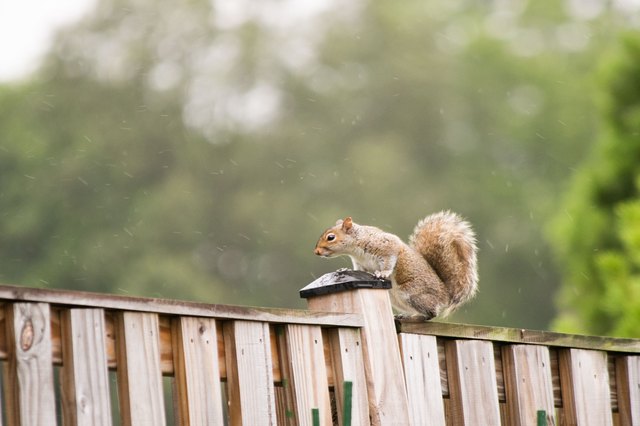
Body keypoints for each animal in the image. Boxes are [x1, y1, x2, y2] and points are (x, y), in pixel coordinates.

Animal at [312, 211, 478, 318]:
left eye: (331, 237)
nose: (316, 252)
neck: (355, 248)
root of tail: (445, 293)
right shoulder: (360, 263)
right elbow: (358, 270)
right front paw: (344, 269)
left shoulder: (388, 247)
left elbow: (389, 261)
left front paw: (383, 273)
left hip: (411, 293)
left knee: (432, 313)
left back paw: (416, 317)